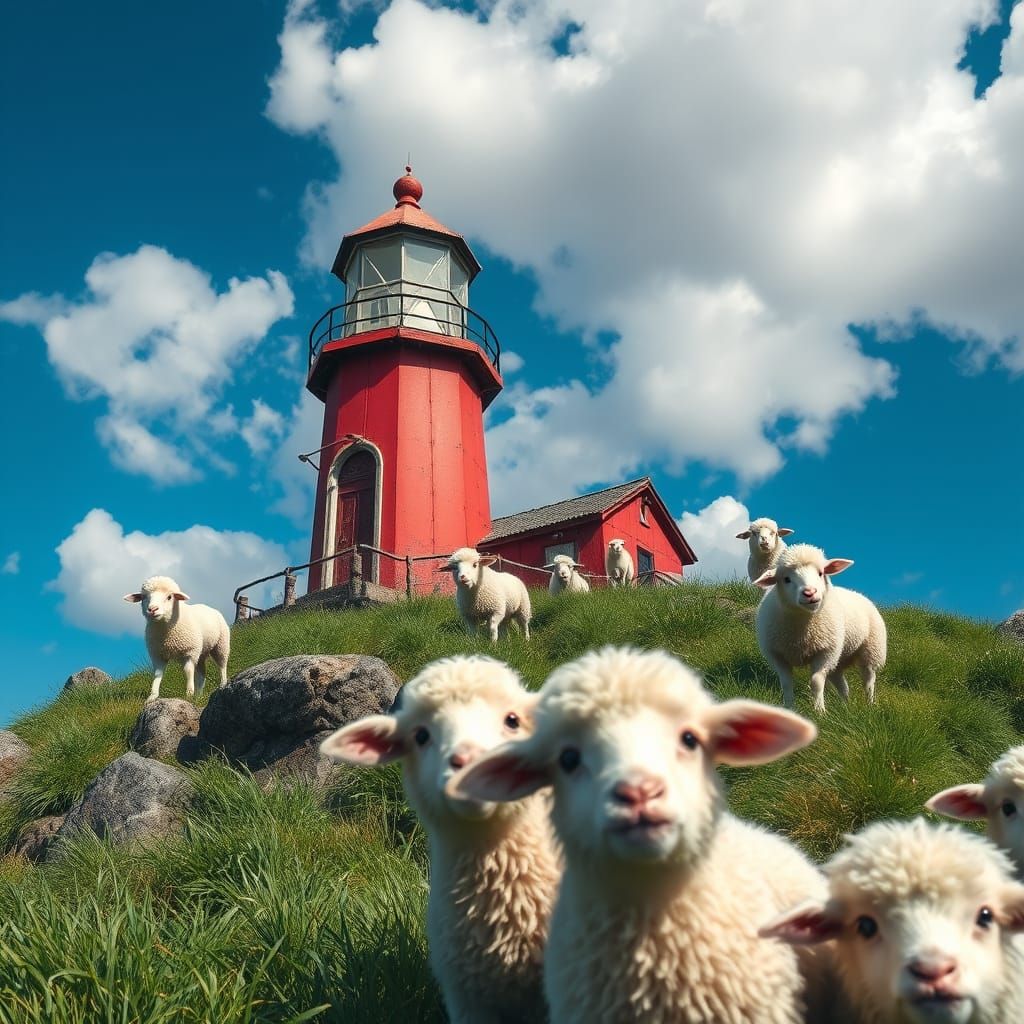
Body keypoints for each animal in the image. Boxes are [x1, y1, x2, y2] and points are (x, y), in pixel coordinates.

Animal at [753, 543, 886, 714]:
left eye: (820, 573)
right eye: (786, 579)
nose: (810, 593)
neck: (802, 630)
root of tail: (858, 594)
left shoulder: (825, 651)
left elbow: (816, 681)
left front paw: (819, 711)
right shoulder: (777, 655)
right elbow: (786, 683)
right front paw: (789, 708)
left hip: (871, 650)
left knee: (868, 680)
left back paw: (870, 704)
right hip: (838, 658)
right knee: (842, 684)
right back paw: (845, 706)